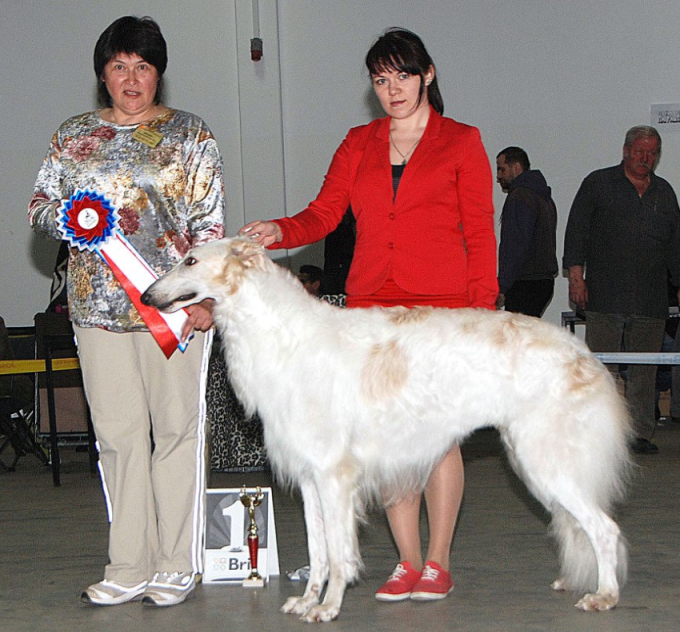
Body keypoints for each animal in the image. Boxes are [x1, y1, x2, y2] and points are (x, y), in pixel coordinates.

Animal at [142, 237, 632, 624]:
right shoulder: (309, 476)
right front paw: (306, 601)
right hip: (536, 460)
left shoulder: (334, 475)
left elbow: (339, 553)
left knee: (605, 528)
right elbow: (319, 551)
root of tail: (583, 353)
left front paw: (328, 607)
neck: (285, 336)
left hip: (546, 460)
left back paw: (605, 595)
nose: (147, 296)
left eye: (190, 260)